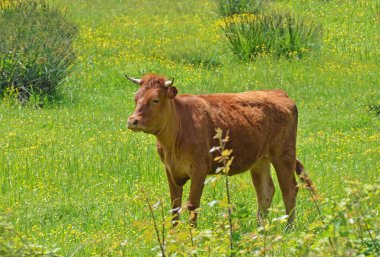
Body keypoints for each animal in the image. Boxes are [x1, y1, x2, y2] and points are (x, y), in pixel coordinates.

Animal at [126, 73, 314, 225]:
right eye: (136, 99)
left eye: (155, 100)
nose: (132, 121)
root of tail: (278, 92)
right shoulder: (170, 169)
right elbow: (175, 206)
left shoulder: (199, 169)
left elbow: (192, 205)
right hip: (261, 159)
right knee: (265, 191)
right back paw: (260, 229)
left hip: (284, 154)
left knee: (289, 189)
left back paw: (288, 228)